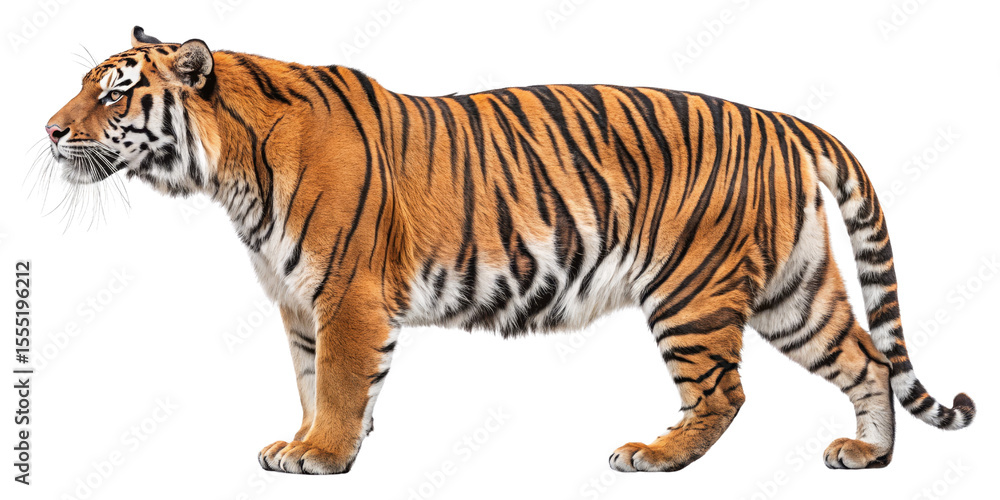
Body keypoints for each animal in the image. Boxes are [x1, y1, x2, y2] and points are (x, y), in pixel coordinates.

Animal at [43, 26, 974, 474]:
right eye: (85, 85)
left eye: (114, 93)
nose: (50, 130)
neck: (228, 170)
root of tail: (780, 119)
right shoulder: (300, 302)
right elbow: (312, 381)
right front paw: (305, 441)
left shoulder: (347, 294)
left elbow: (339, 383)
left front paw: (323, 456)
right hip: (794, 290)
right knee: (866, 358)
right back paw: (870, 456)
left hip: (693, 291)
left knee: (724, 392)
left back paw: (654, 456)